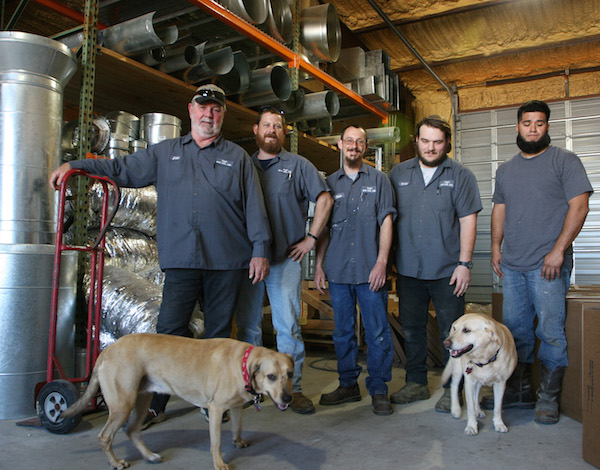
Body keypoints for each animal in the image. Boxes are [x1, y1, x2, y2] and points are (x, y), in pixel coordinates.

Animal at [60, 332, 292, 468]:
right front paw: (219, 463)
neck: (242, 362)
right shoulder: (216, 409)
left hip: (142, 399)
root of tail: (108, 349)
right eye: (271, 376)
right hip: (122, 405)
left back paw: (150, 456)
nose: (288, 398)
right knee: (105, 436)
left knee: (132, 430)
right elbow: (216, 442)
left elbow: (237, 426)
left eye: (289, 373)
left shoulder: (235, 406)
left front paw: (238, 441)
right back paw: (116, 462)